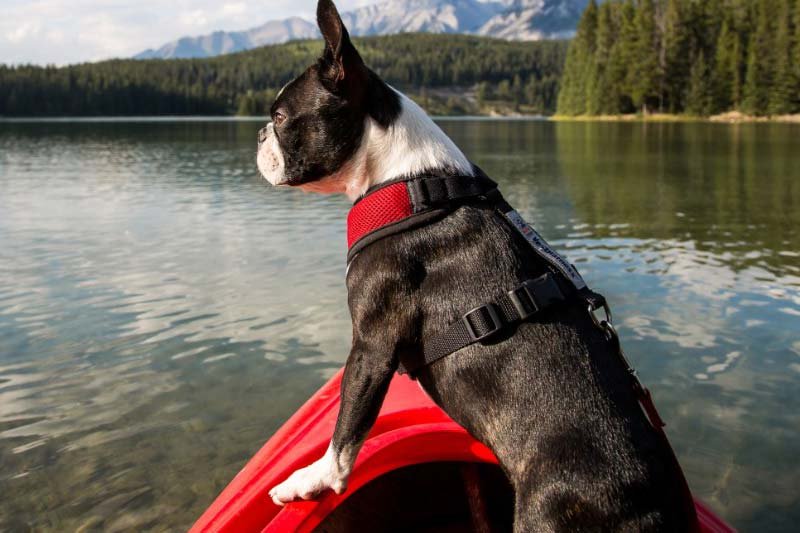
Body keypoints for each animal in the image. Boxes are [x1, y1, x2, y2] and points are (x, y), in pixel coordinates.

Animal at [260, 2, 696, 528]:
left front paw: (313, 480)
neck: (410, 182)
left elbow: (347, 429)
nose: (259, 134)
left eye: (280, 116)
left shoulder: (372, 345)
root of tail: (650, 505)